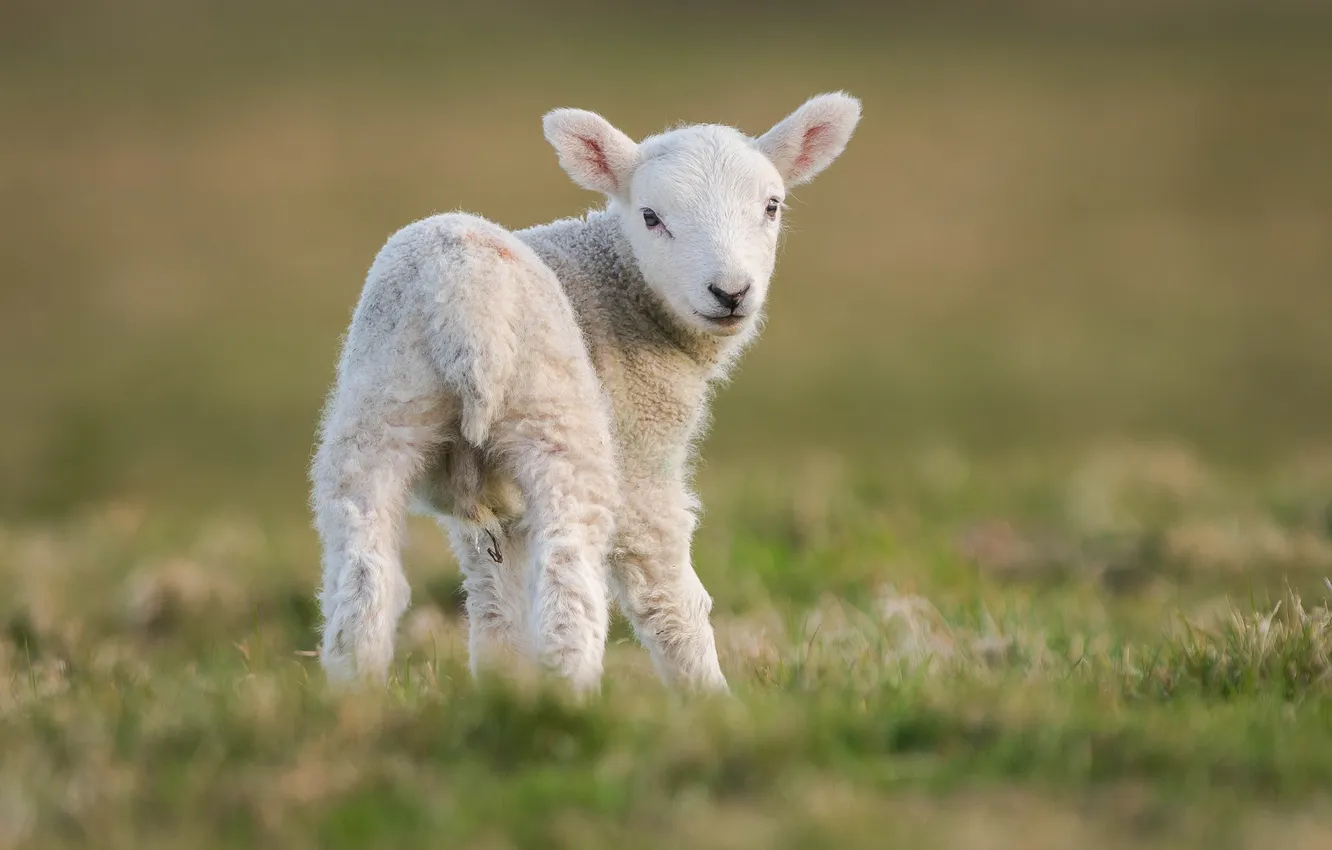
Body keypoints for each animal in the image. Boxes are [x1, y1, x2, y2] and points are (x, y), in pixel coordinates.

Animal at [311, 92, 861, 693]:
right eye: (651, 216)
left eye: (772, 206)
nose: (731, 292)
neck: (621, 289)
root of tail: (461, 295)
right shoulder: (642, 449)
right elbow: (669, 593)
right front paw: (711, 699)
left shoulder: (496, 510)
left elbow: (497, 603)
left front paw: (503, 687)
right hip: (560, 420)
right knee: (570, 572)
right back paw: (570, 695)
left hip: (378, 411)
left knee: (364, 573)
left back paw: (355, 693)